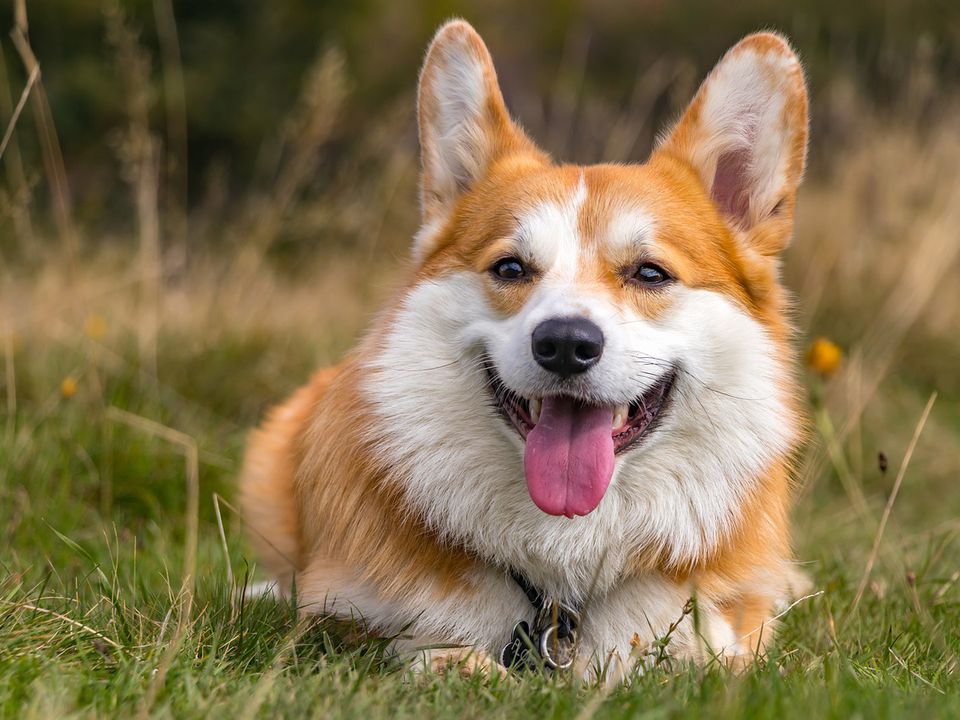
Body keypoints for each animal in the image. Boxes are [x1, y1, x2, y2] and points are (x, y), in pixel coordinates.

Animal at [242, 19, 808, 676]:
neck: (562, 579)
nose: (564, 344)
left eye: (650, 273)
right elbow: (434, 650)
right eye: (511, 267)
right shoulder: (341, 617)